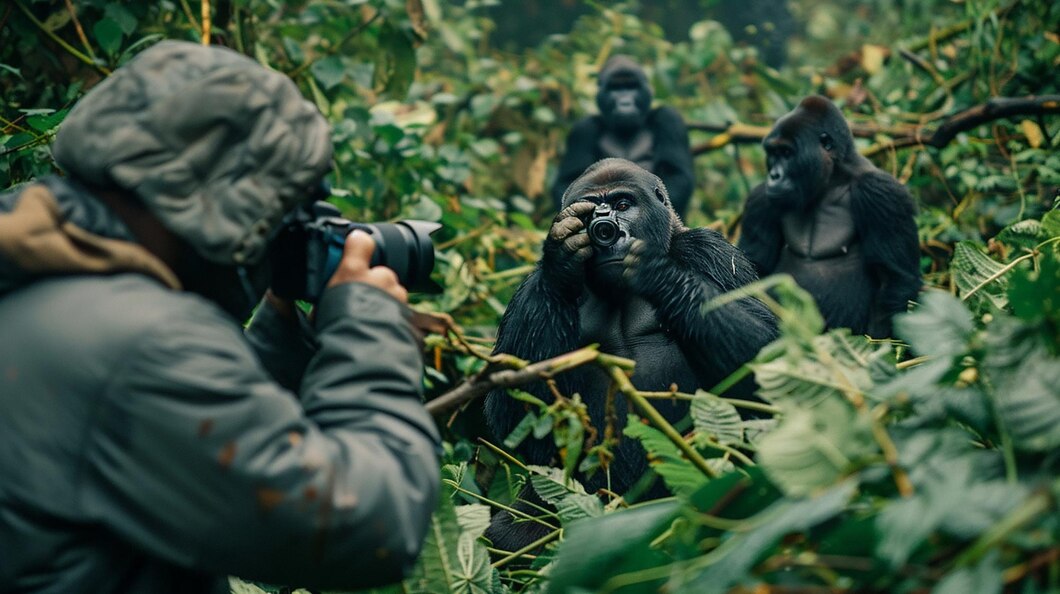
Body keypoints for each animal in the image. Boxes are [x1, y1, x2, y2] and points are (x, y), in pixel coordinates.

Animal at [485, 159, 775, 551]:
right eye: (590, 209)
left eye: (623, 204)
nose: (608, 229)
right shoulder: (532, 285)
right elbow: (510, 409)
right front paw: (562, 258)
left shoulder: (711, 250)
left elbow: (770, 358)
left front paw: (657, 272)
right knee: (507, 534)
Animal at [551, 55, 699, 218]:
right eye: (615, 89)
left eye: (631, 87)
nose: (625, 103)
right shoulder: (582, 129)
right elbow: (567, 181)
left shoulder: (669, 118)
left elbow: (675, 173)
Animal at [737, 94, 920, 337]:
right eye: (773, 154)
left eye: (787, 153)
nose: (774, 176)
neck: (832, 179)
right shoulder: (761, 200)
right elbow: (753, 268)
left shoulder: (882, 194)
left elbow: (894, 281)